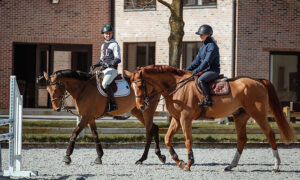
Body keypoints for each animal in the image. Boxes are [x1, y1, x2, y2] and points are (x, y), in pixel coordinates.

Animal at [124, 64, 296, 172]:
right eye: (131, 87)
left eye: (140, 85)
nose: (140, 106)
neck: (177, 86)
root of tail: (258, 81)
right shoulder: (176, 119)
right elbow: (167, 139)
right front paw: (177, 160)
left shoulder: (185, 118)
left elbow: (188, 140)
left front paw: (188, 163)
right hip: (240, 116)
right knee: (242, 139)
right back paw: (231, 166)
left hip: (258, 114)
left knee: (270, 134)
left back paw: (276, 166)